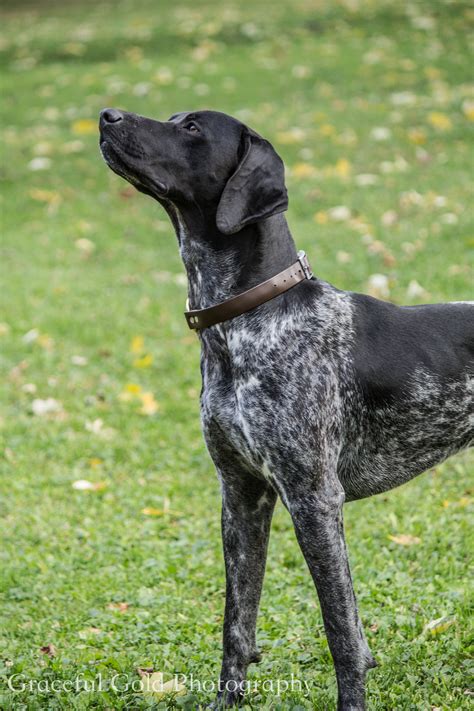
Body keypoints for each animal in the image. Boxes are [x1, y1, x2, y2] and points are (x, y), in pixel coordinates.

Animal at [98, 108, 472, 708]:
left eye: (192, 128)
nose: (107, 115)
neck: (243, 324)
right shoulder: (241, 494)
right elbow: (237, 625)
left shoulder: (314, 498)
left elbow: (342, 634)